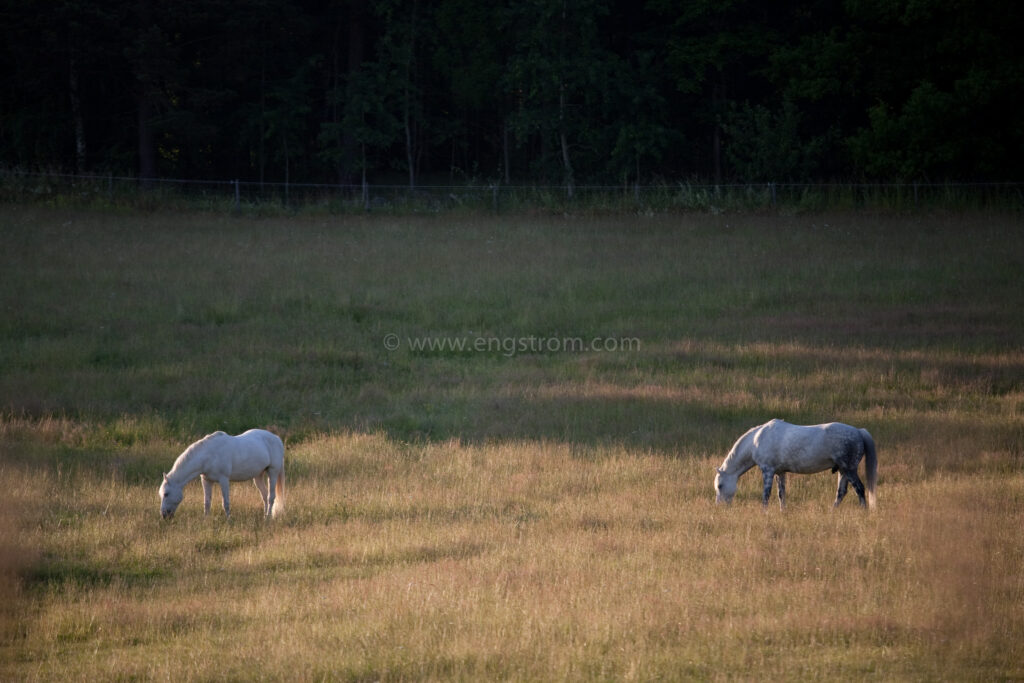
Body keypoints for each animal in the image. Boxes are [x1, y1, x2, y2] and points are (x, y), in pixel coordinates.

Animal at [716, 419, 876, 509]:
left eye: (720, 486)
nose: (720, 507)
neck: (756, 440)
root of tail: (859, 431)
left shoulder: (768, 471)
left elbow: (766, 495)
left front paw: (764, 512)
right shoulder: (780, 472)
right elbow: (781, 494)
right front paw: (783, 511)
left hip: (849, 470)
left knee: (860, 489)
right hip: (843, 471)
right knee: (841, 493)